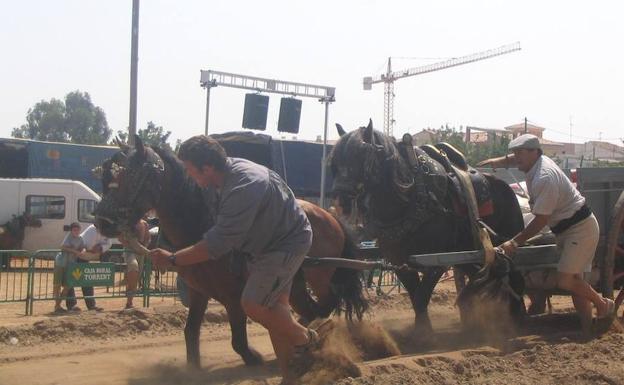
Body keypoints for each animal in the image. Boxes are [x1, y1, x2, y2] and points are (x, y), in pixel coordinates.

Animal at [94, 135, 368, 366]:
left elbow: (238, 339)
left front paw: (254, 356)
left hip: (318, 276)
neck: (202, 223)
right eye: (106, 179)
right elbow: (190, 332)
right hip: (296, 284)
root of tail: (329, 216)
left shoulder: (233, 296)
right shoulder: (198, 291)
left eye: (132, 177)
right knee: (312, 308)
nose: (102, 222)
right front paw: (194, 369)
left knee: (324, 303)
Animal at [330, 121, 524, 332]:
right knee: (490, 274)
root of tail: (509, 189)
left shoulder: (437, 261)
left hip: (507, 240)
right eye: (335, 161)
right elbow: (416, 298)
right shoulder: (400, 262)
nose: (340, 201)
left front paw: (424, 333)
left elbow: (422, 296)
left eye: (361, 155)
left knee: (514, 276)